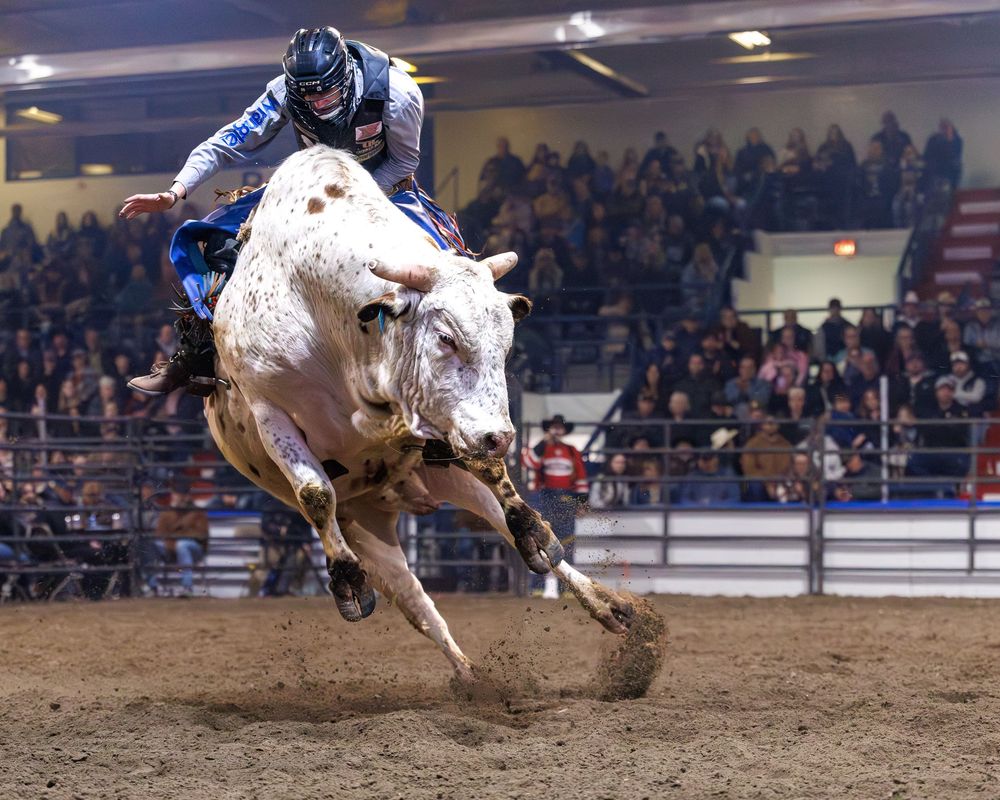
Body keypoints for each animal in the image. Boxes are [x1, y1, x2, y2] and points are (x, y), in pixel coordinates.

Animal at [205, 145, 636, 681]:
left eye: (507, 343)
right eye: (446, 337)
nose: (499, 437)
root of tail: (397, 501)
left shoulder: (443, 425)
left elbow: (491, 472)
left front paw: (534, 529)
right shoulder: (269, 408)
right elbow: (314, 493)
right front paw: (348, 583)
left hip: (441, 477)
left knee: (506, 527)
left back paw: (598, 599)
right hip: (363, 521)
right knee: (415, 600)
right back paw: (470, 677)